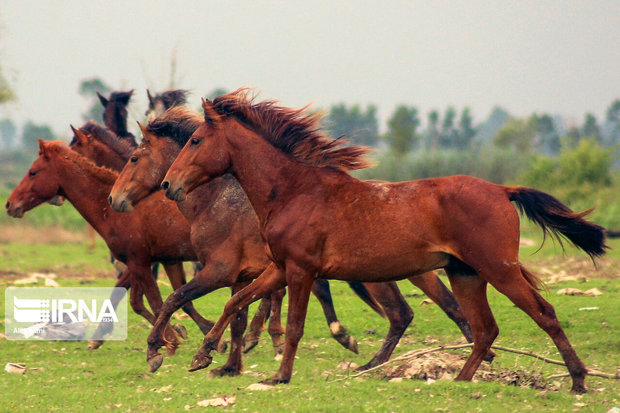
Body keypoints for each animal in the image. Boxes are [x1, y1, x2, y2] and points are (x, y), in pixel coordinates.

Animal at [162, 90, 608, 392]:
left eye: (196, 140)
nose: (169, 185)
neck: (294, 192)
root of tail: (503, 189)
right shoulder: (279, 268)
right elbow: (237, 301)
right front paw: (203, 355)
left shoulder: (301, 270)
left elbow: (293, 326)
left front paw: (280, 376)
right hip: (466, 275)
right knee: (485, 330)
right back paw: (460, 381)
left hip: (498, 270)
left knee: (544, 314)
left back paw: (578, 380)